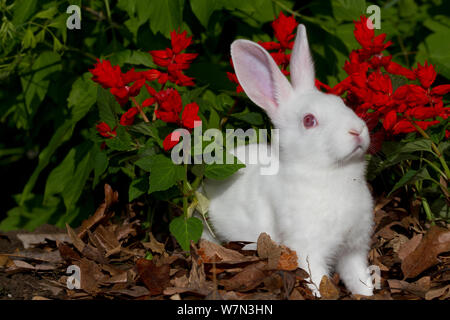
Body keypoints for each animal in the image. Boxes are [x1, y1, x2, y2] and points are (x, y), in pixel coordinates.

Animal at [202, 25, 374, 298]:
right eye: (309, 120)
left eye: (341, 102)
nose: (357, 130)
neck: (331, 173)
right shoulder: (308, 250)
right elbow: (318, 280)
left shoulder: (354, 249)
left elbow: (358, 276)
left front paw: (366, 292)